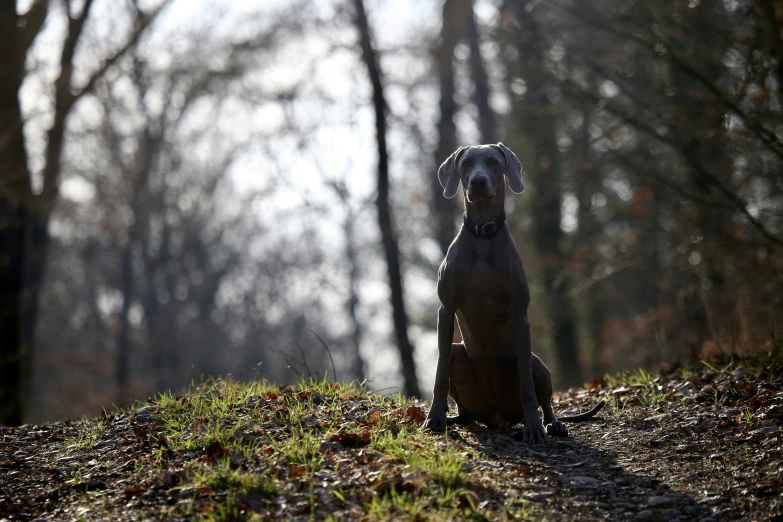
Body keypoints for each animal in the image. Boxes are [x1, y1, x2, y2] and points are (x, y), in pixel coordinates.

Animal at [426, 143, 604, 442]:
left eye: (493, 161)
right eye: (466, 163)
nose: (477, 182)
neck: (483, 235)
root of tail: (496, 417)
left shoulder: (520, 313)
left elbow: (528, 390)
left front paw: (533, 428)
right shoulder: (446, 310)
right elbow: (439, 375)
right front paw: (434, 418)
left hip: (536, 362)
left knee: (543, 396)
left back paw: (552, 424)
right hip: (457, 355)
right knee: (463, 407)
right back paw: (455, 419)